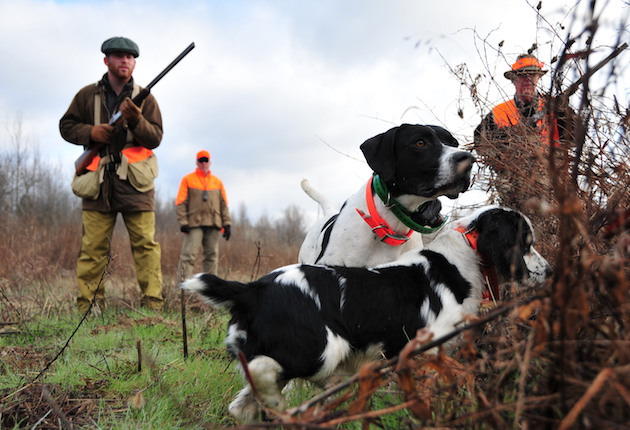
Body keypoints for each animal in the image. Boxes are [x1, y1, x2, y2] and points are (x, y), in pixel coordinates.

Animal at [181, 206, 548, 424]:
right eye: (526, 243)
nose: (549, 270)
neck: (457, 262)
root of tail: (253, 290)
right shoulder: (421, 349)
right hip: (320, 350)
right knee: (265, 375)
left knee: (241, 405)